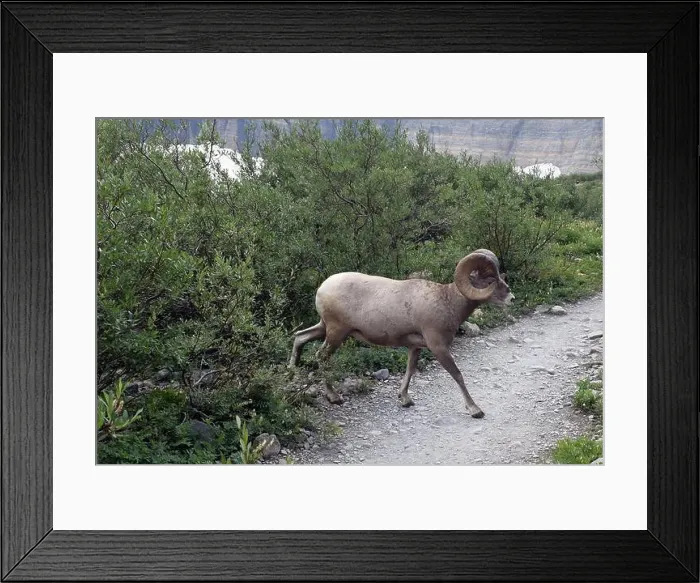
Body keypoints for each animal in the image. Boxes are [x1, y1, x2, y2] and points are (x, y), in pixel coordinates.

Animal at [288, 249, 514, 418]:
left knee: (300, 337)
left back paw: (291, 371)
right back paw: (334, 397)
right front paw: (475, 410)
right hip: (336, 333)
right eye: (490, 278)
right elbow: (457, 374)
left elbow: (410, 369)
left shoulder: (415, 347)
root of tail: (322, 288)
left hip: (324, 328)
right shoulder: (438, 347)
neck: (447, 301)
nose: (511, 298)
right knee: (322, 357)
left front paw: (405, 399)